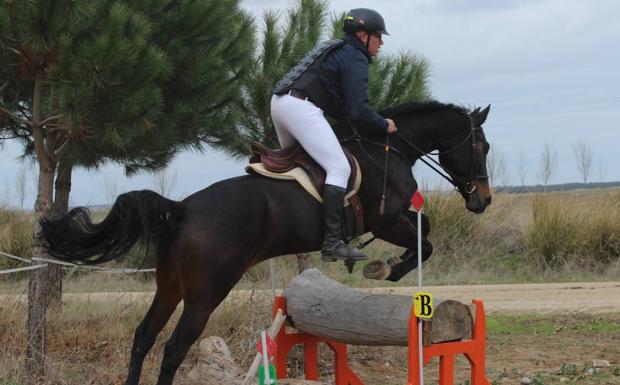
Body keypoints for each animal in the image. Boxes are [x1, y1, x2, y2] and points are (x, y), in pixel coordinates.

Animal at [41, 101, 492, 384]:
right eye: (482, 145)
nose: (483, 200)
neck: (390, 148)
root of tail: (182, 207)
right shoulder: (387, 219)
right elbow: (425, 238)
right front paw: (385, 269)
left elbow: (425, 236)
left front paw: (380, 266)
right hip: (207, 293)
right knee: (173, 348)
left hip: (169, 287)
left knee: (143, 337)